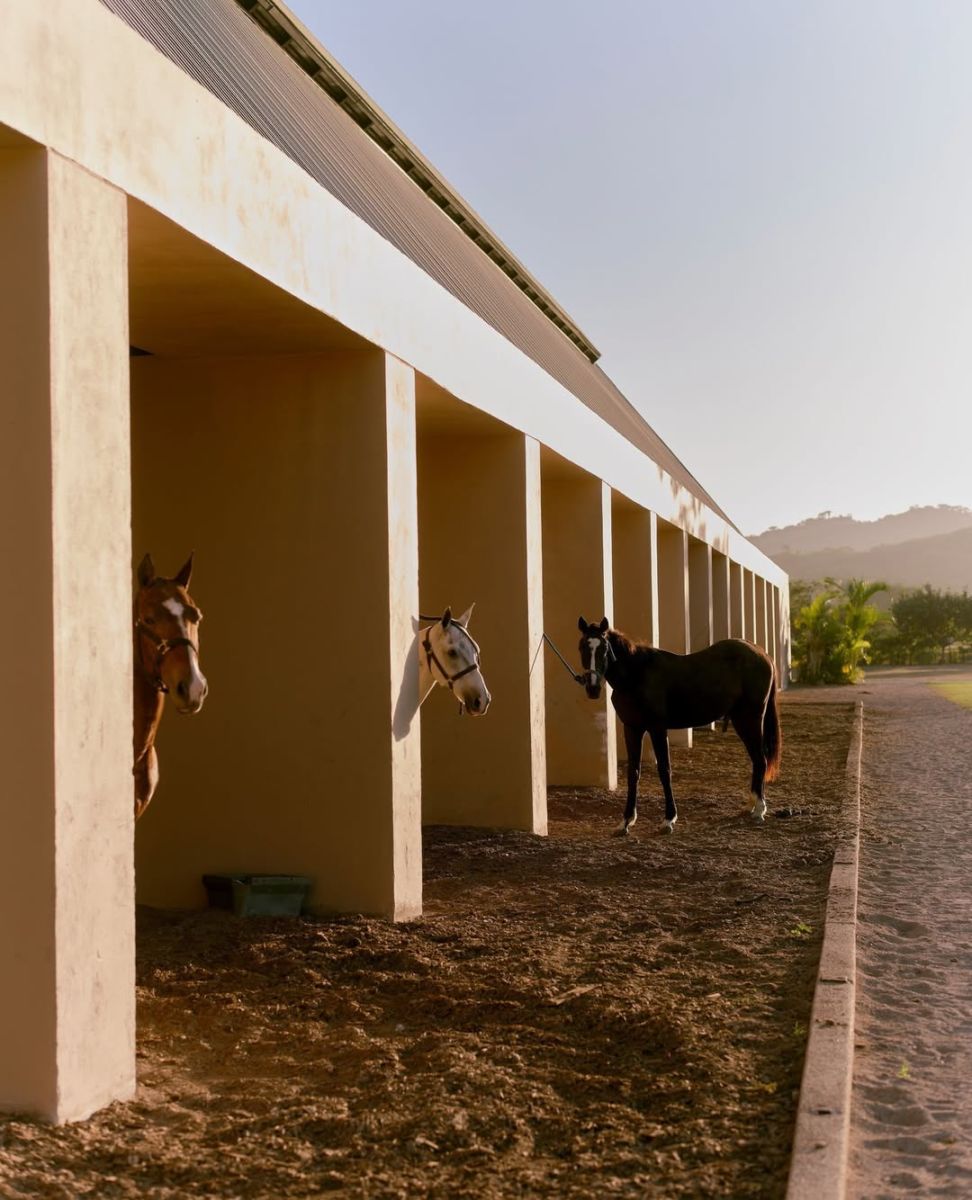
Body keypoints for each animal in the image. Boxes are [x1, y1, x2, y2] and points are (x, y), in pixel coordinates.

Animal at [577, 617, 781, 834]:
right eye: (582, 646)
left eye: (604, 648)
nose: (592, 687)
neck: (637, 674)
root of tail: (761, 653)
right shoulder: (632, 729)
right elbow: (634, 773)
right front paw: (626, 821)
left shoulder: (657, 728)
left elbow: (664, 770)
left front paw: (668, 819)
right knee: (757, 760)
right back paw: (752, 804)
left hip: (750, 719)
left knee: (760, 759)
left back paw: (759, 809)